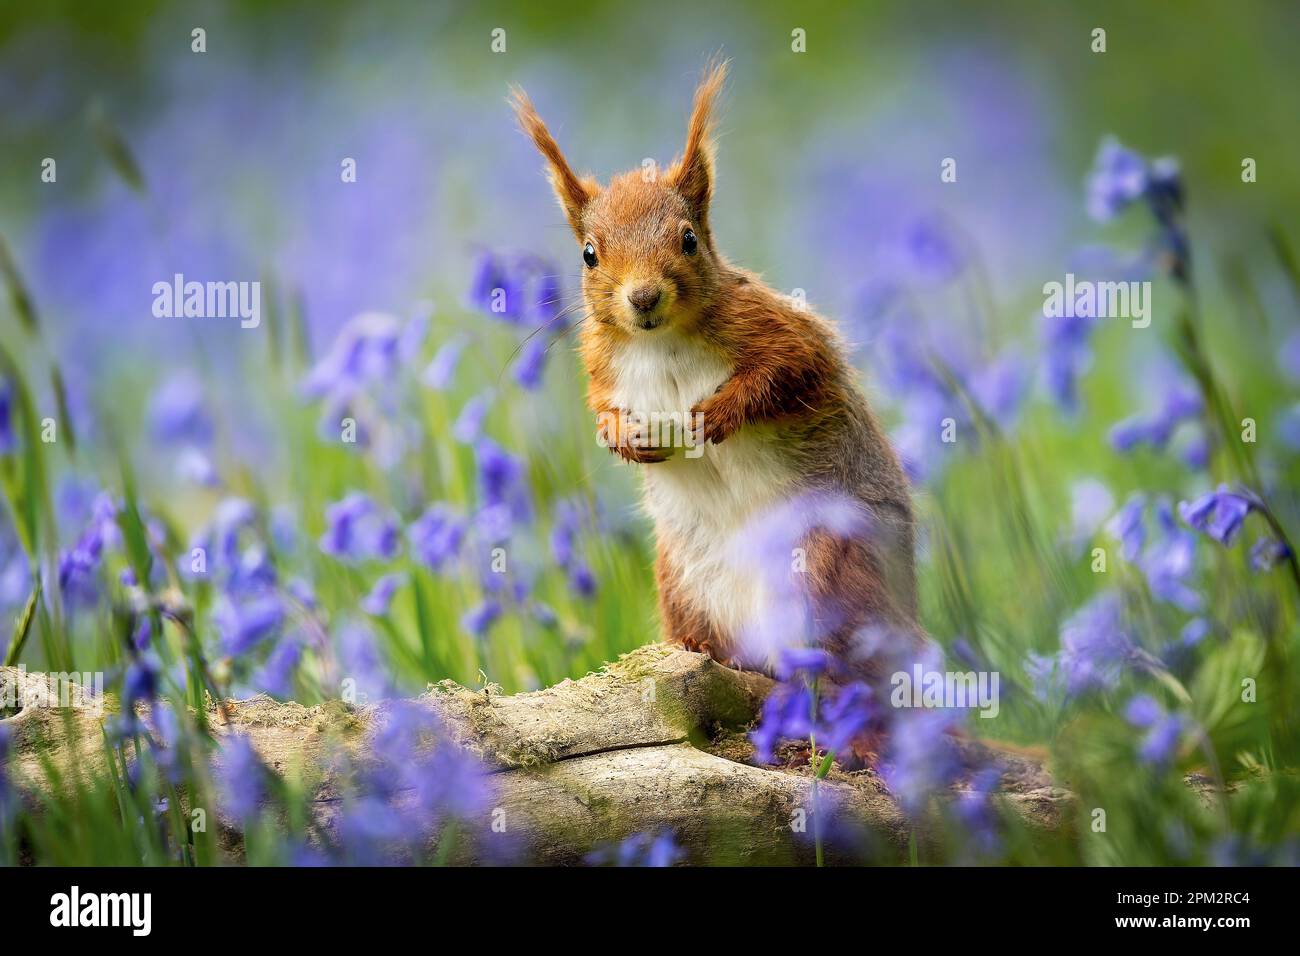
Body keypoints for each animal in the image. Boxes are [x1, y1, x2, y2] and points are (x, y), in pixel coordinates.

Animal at [506, 61, 925, 681]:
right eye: (588, 253)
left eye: (688, 239)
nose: (644, 297)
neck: (659, 342)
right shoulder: (603, 365)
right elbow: (602, 407)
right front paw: (623, 437)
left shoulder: (775, 330)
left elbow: (786, 371)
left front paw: (714, 416)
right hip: (685, 583)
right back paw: (706, 653)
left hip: (825, 560)